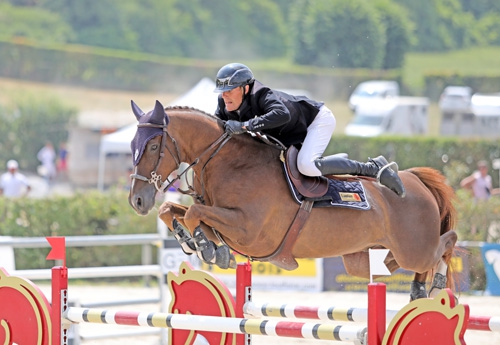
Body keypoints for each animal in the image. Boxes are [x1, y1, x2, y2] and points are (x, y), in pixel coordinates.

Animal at [129, 99, 458, 298]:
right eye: (133, 144)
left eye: (154, 146)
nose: (137, 201)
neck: (227, 162)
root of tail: (415, 180)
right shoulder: (224, 218)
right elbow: (173, 210)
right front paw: (196, 242)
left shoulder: (248, 230)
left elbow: (194, 212)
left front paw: (207, 247)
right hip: (365, 257)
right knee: (390, 264)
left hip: (414, 248)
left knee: (447, 242)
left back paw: (433, 285)